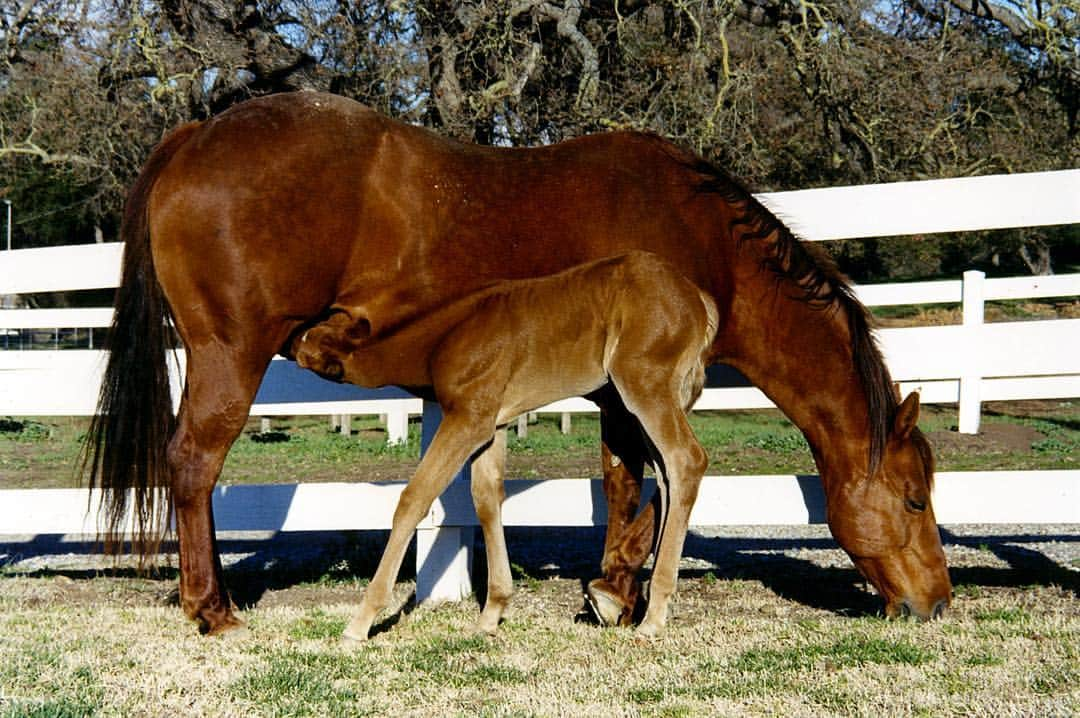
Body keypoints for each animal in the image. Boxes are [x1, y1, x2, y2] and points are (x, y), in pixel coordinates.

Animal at [291, 250, 721, 639]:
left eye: (312, 338)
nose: (289, 339)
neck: (446, 335)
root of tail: (698, 299)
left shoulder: (467, 419)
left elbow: (414, 498)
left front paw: (359, 624)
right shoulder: (490, 425)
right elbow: (486, 499)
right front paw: (490, 615)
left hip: (644, 386)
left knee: (686, 460)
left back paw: (653, 618)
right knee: (666, 476)